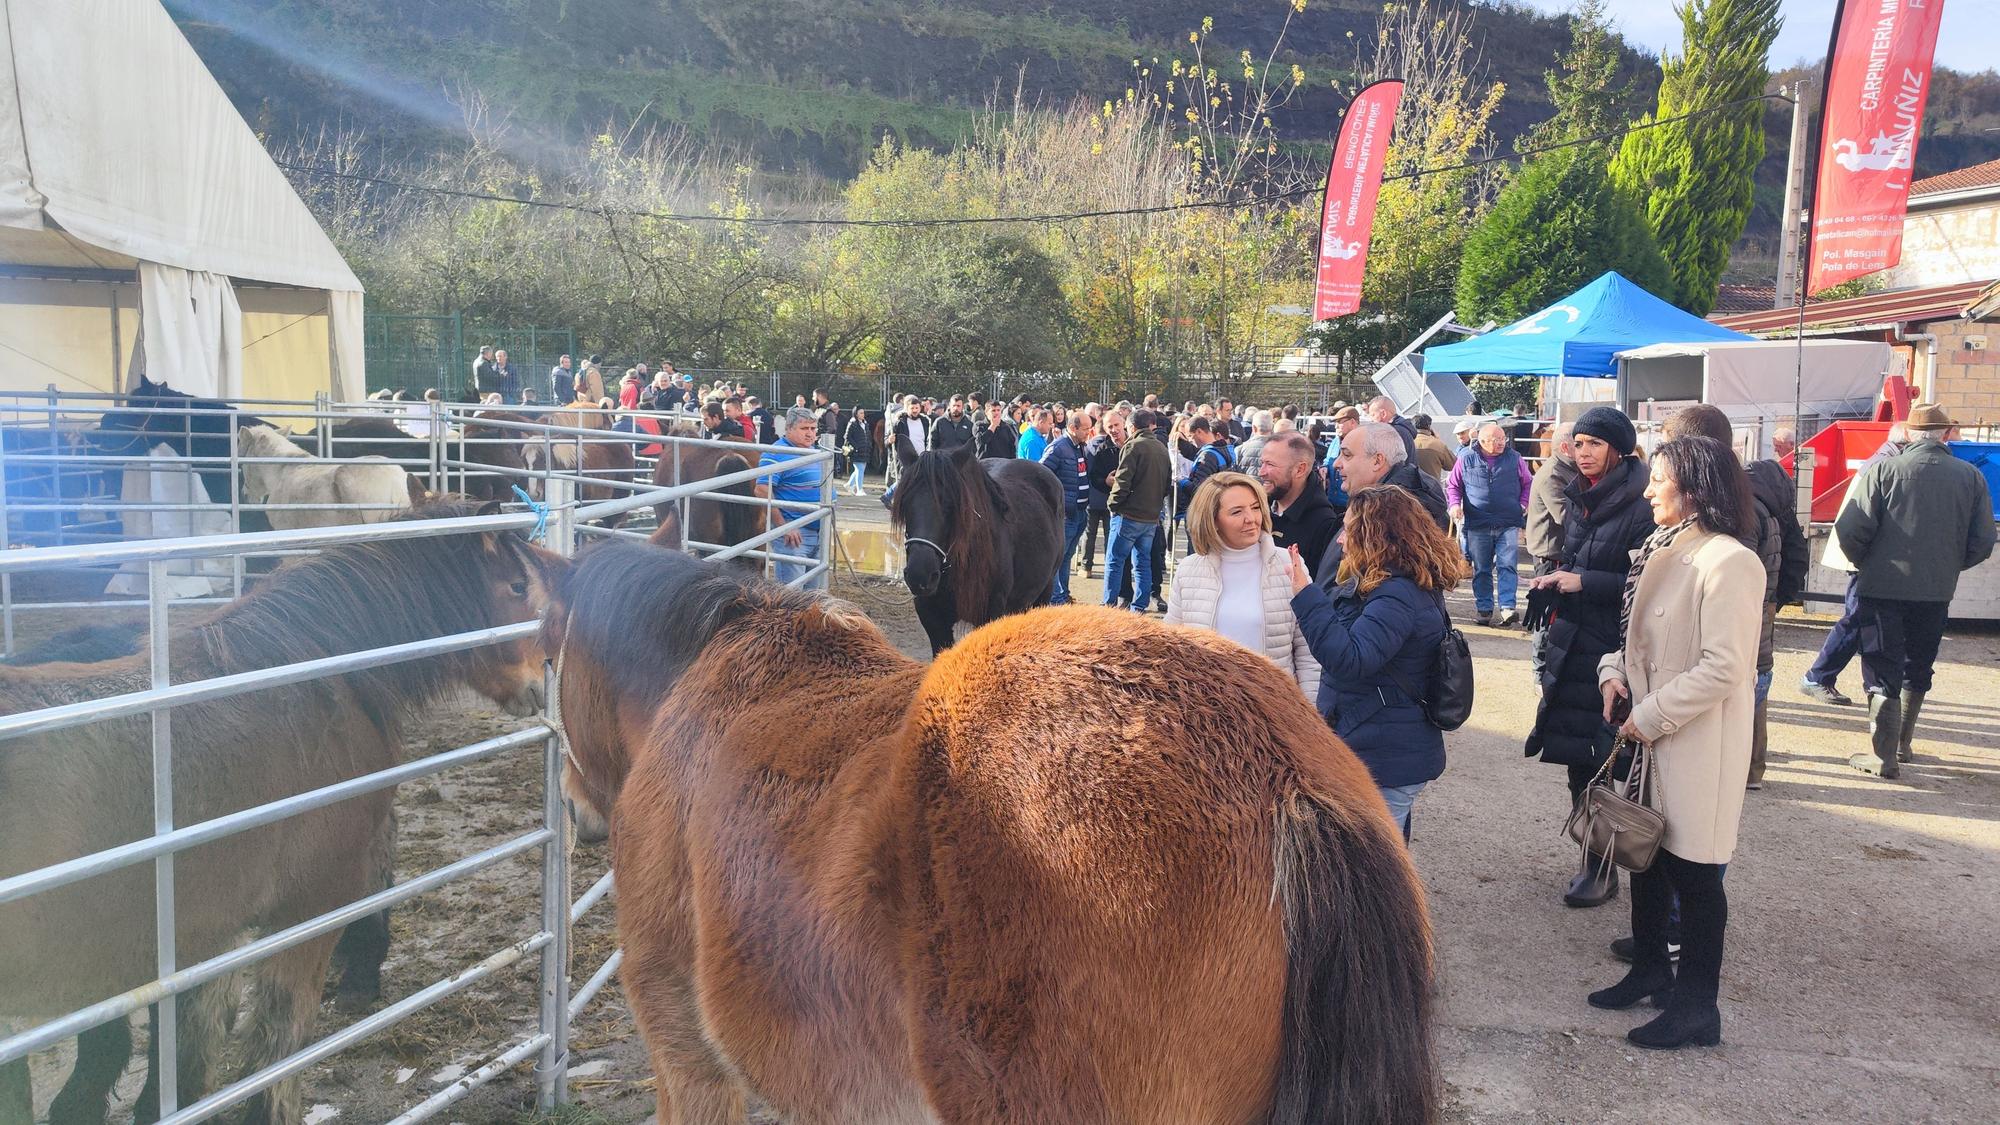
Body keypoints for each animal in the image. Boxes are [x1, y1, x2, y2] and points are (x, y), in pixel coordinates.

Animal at [1, 500, 564, 1120]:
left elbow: (193, 1050)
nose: (543, 679)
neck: (310, 681)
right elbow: (277, 1045)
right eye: (517, 586)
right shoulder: (306, 908)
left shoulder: (208, 936)